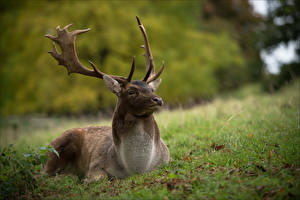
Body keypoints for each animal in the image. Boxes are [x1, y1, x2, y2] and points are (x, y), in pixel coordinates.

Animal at [43, 16, 170, 181]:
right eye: (131, 91)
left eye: (151, 89)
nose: (158, 100)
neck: (136, 168)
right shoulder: (96, 164)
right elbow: (98, 177)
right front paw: (83, 179)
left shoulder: (165, 160)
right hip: (57, 148)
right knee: (43, 174)